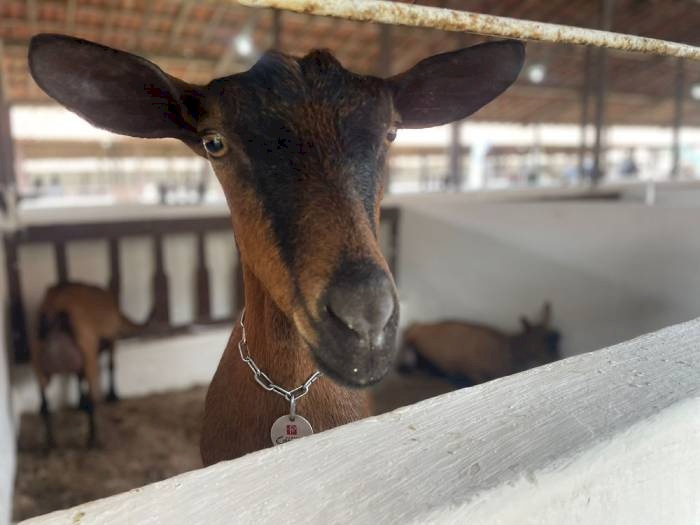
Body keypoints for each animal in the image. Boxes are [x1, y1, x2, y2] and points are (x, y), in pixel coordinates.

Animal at [31, 282, 149, 448]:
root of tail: (53, 311)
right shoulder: (109, 340)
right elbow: (111, 365)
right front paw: (113, 396)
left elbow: (78, 375)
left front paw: (80, 402)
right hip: (89, 351)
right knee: (93, 399)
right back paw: (94, 441)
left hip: (38, 361)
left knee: (44, 405)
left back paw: (50, 444)